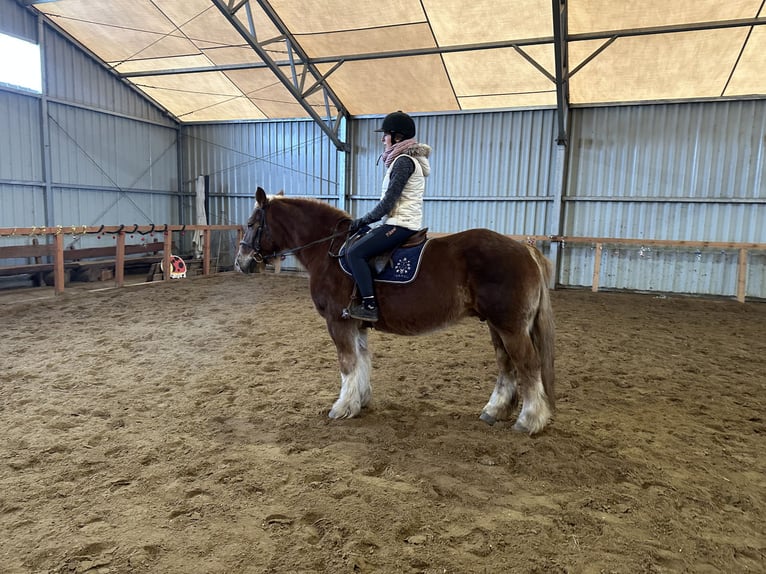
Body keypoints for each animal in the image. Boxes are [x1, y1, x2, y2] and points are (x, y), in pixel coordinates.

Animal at [236, 189, 560, 436]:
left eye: (252, 223)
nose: (242, 262)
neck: (330, 252)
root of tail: (525, 250)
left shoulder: (338, 323)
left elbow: (348, 364)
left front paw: (342, 407)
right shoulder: (357, 324)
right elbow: (362, 361)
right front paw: (360, 401)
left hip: (511, 327)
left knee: (527, 364)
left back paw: (529, 420)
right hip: (496, 326)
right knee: (506, 365)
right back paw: (495, 410)